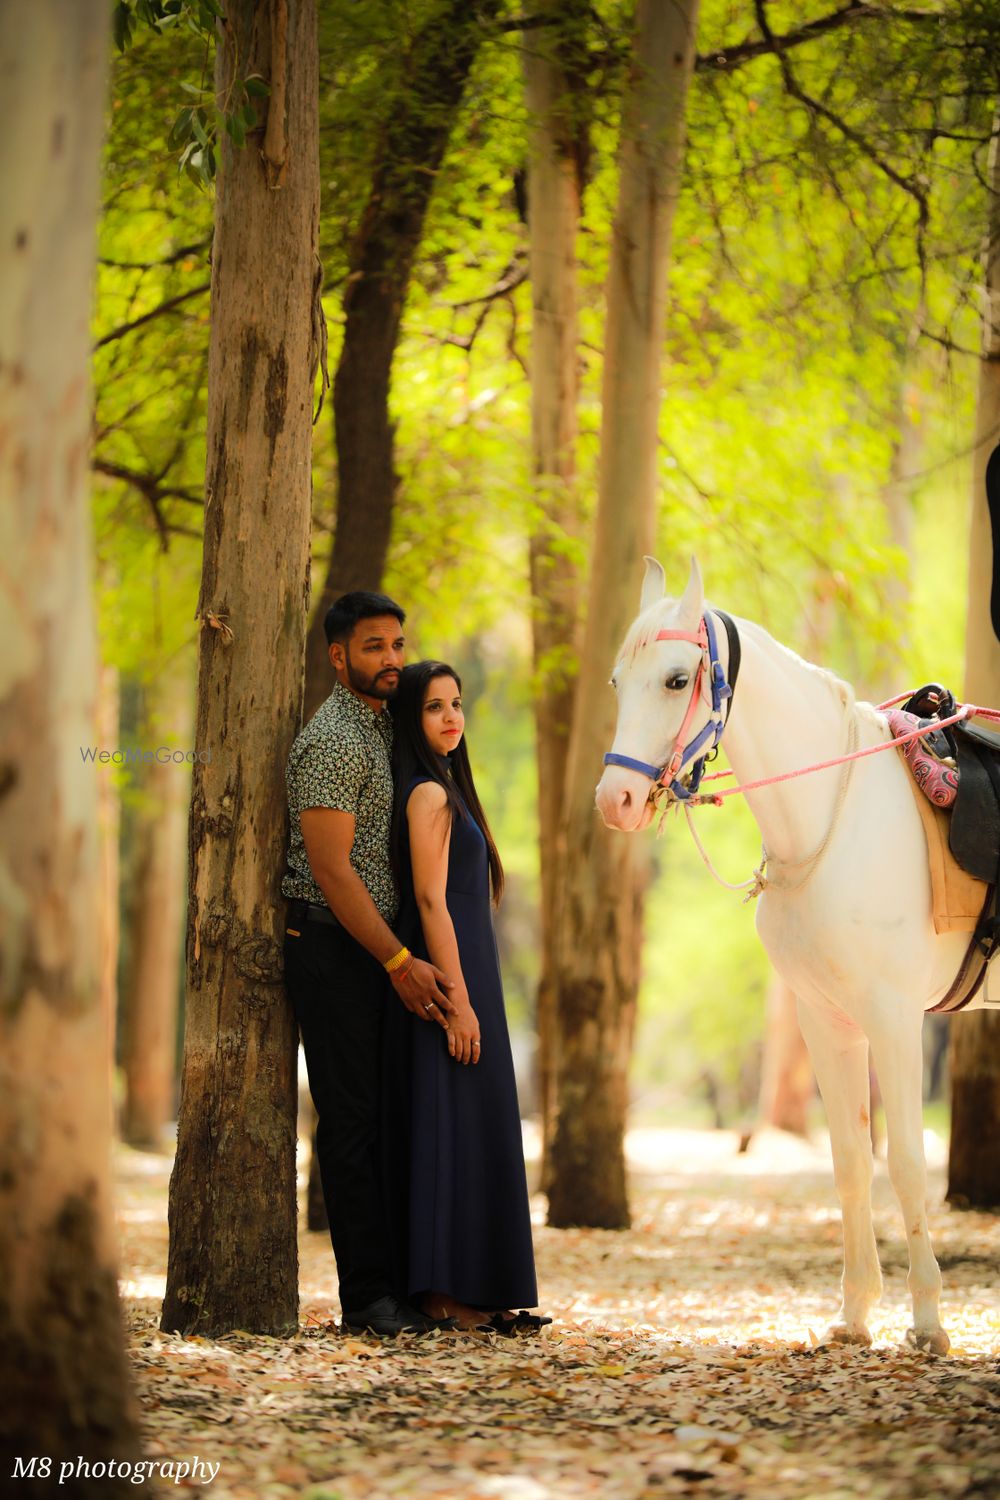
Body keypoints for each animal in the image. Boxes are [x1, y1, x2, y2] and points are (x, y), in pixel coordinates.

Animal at [599, 558, 989, 1356]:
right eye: (619, 680)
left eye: (678, 680)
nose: (613, 799)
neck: (832, 821)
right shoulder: (825, 1021)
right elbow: (849, 1161)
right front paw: (856, 1314)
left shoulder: (895, 1021)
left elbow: (906, 1162)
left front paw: (928, 1322)